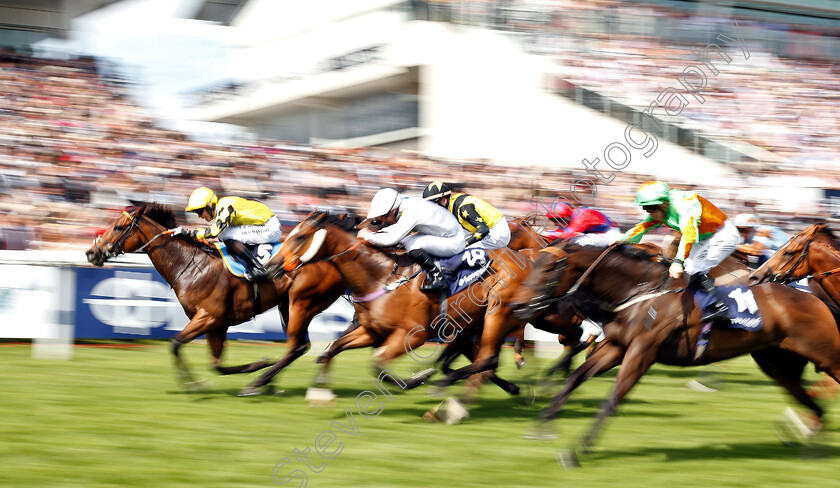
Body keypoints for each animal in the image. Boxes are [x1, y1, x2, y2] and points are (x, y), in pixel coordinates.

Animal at [83, 203, 346, 392]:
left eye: (118, 228)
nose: (91, 253)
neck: (192, 265)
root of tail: (332, 258)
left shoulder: (208, 317)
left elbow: (175, 343)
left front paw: (192, 384)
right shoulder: (217, 325)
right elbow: (217, 365)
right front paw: (258, 364)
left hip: (301, 303)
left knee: (295, 345)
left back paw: (257, 384)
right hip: (287, 306)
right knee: (301, 346)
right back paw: (266, 380)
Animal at [508, 238, 840, 464]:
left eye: (549, 268)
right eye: (533, 264)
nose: (517, 306)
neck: (640, 290)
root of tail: (817, 300)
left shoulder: (642, 353)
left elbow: (612, 399)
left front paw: (577, 451)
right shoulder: (616, 347)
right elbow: (574, 379)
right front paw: (542, 424)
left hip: (826, 355)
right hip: (776, 364)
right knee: (813, 404)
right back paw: (810, 441)